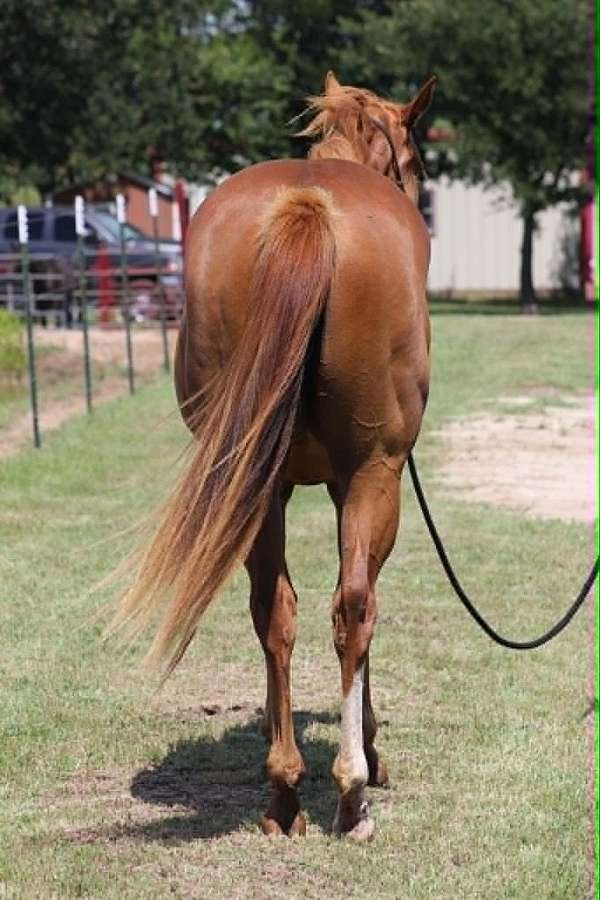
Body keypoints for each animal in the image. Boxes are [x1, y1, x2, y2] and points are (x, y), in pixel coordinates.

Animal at [114, 70, 436, 840]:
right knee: (353, 607)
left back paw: (283, 791)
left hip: (251, 480)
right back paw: (351, 795)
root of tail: (307, 205)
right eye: (416, 163)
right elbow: (359, 605)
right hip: (374, 474)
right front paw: (370, 751)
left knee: (274, 609)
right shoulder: (363, 480)